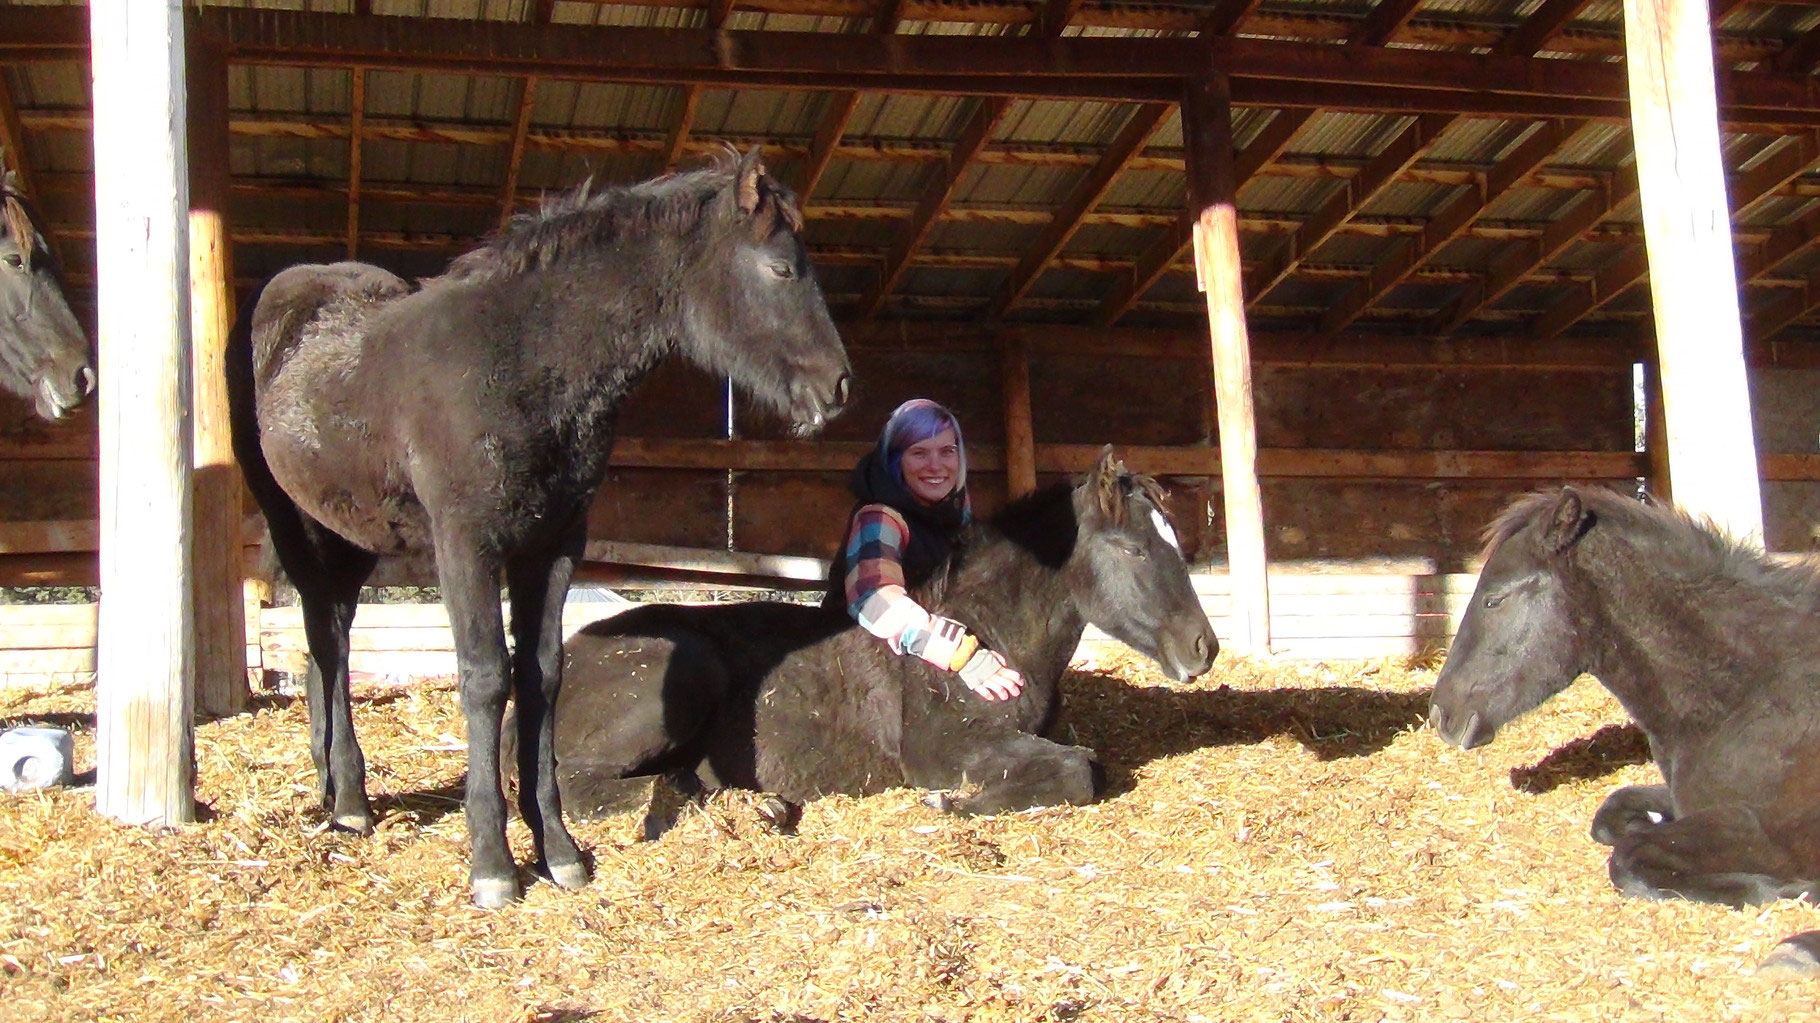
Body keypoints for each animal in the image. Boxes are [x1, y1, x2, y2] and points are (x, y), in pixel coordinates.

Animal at [226, 149, 852, 908]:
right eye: (782, 269)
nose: (838, 386)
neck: (519, 360)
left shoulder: (554, 544)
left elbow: (543, 675)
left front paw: (557, 850)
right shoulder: (465, 542)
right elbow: (486, 675)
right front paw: (493, 864)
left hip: (350, 534)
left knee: (332, 635)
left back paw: (335, 788)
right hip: (293, 519)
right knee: (325, 638)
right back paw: (348, 802)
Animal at [521, 449, 1219, 825]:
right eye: (1131, 548)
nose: (1202, 649)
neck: (988, 631)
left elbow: (1085, 761)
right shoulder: (945, 750)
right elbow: (1080, 771)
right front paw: (949, 805)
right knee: (575, 785)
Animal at [1428, 485, 1820, 973]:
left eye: (1494, 600)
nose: (1441, 714)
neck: (1750, 692)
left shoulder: (1761, 831)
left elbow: (1627, 861)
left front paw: (1783, 889)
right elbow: (1614, 814)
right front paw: (1640, 821)